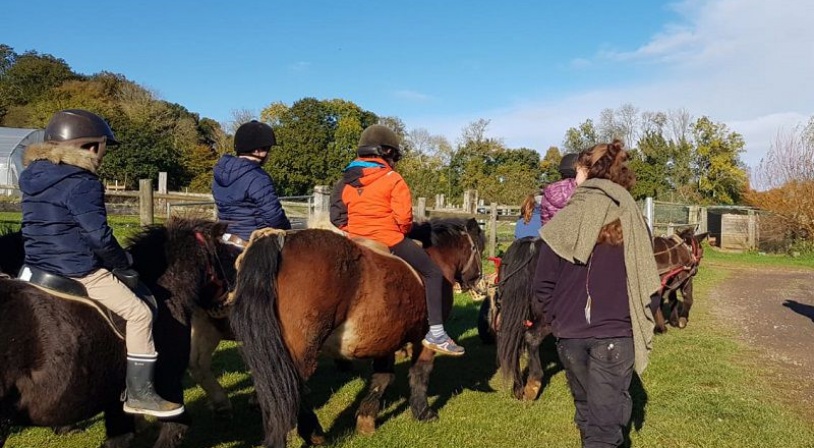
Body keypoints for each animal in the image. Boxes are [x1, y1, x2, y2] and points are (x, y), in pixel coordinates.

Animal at [0, 219, 239, 446]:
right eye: (225, 255)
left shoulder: (116, 399)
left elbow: (120, 438)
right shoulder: (168, 383)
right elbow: (174, 429)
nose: (229, 302)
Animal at [230, 218, 484, 448]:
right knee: (287, 390)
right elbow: (421, 373)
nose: (477, 281)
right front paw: (424, 412)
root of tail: (280, 240)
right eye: (479, 248)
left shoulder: (386, 338)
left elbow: (382, 378)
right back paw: (309, 433)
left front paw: (367, 418)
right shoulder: (423, 339)